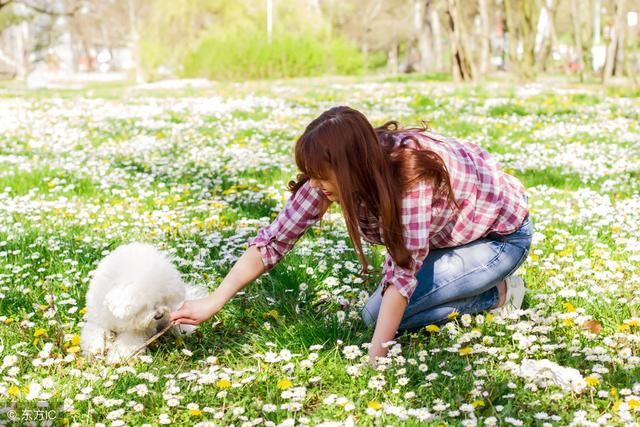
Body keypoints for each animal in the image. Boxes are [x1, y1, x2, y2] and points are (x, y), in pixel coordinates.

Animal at [80, 244, 208, 364]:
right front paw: (95, 351)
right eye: (144, 305)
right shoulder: (98, 318)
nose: (159, 315)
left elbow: (127, 343)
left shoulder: (135, 331)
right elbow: (94, 333)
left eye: (163, 299)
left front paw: (116, 357)